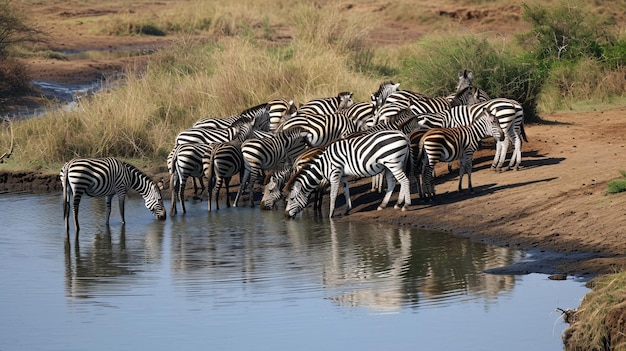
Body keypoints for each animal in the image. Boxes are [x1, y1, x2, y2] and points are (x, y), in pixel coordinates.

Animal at [282, 130, 410, 217]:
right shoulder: (342, 175)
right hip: (390, 165)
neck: (323, 165)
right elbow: (346, 191)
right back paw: (390, 204)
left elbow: (333, 194)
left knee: (404, 181)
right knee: (393, 183)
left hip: (393, 163)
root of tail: (402, 134)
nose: (286, 216)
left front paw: (330, 215)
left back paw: (405, 205)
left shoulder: (335, 173)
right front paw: (347, 209)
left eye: (292, 199)